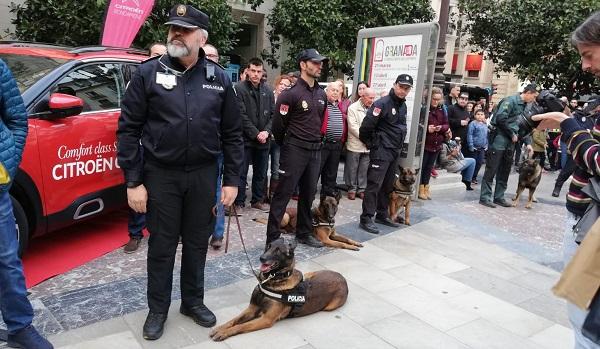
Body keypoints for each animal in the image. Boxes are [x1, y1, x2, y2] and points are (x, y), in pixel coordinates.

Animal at [211, 237, 350, 340]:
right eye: (268, 246)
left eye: (278, 251)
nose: (262, 258)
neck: (272, 280)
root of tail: (342, 277)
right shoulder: (252, 309)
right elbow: (234, 320)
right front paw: (220, 328)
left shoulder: (266, 319)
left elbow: (241, 326)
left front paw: (224, 333)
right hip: (308, 274)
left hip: (329, 307)